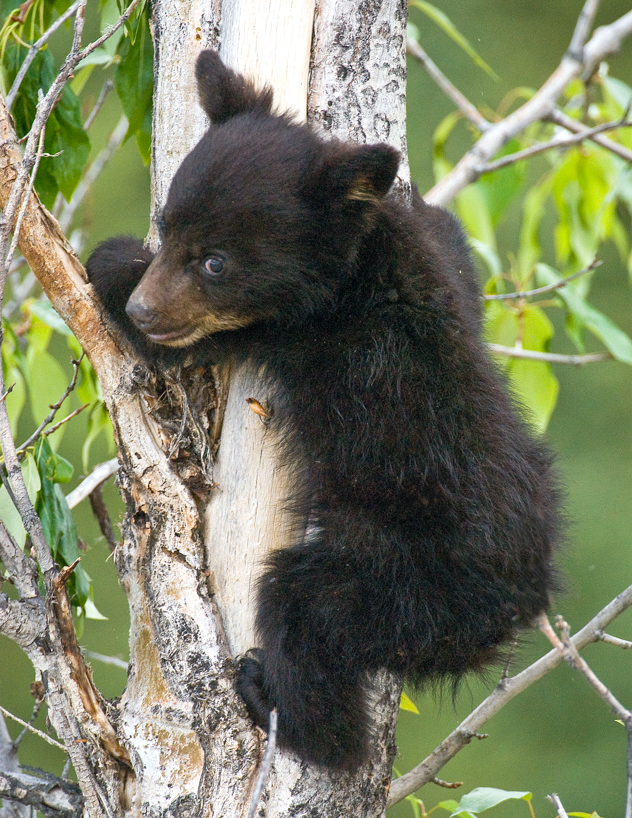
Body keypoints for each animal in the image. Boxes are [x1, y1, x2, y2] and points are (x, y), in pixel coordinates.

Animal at [86, 49, 562, 772]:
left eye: (216, 262)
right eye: (168, 227)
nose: (146, 308)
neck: (354, 269)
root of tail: (519, 600)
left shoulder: (295, 331)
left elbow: (183, 347)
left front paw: (110, 263)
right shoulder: (440, 266)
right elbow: (452, 244)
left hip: (396, 580)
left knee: (305, 616)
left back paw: (276, 701)